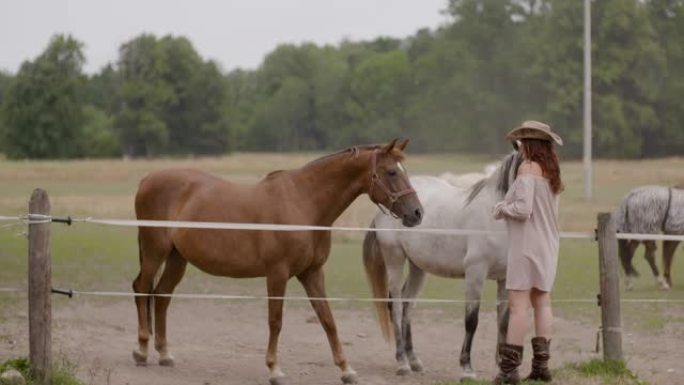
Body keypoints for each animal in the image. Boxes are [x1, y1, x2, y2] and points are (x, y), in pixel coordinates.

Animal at [131, 139, 424, 384]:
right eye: (391, 172)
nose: (417, 213)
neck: (303, 203)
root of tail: (146, 179)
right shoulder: (277, 274)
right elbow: (276, 321)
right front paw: (274, 370)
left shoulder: (312, 273)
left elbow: (328, 320)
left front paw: (346, 369)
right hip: (155, 251)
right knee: (142, 289)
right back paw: (142, 351)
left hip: (176, 258)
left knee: (161, 296)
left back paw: (164, 354)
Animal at [360, 151, 520, 378]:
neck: (495, 216)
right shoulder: (475, 274)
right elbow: (471, 320)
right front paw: (467, 368)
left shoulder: (504, 279)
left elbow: (504, 323)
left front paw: (504, 371)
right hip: (395, 259)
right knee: (396, 306)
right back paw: (402, 363)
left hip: (418, 268)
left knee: (408, 306)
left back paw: (414, 360)